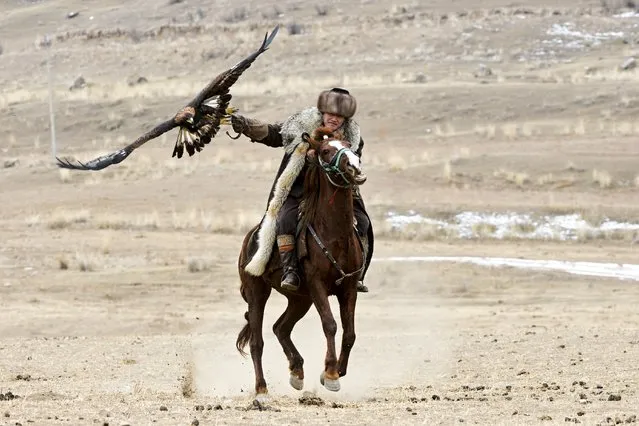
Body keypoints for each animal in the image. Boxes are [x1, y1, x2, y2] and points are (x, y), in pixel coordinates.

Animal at [236, 125, 368, 402]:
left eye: (350, 146)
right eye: (326, 151)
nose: (355, 167)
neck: (334, 234)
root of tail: (249, 239)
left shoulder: (349, 287)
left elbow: (349, 333)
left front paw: (336, 371)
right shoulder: (317, 285)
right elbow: (330, 324)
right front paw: (331, 374)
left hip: (300, 299)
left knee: (280, 328)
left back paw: (297, 371)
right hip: (257, 292)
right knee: (257, 342)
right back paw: (262, 390)